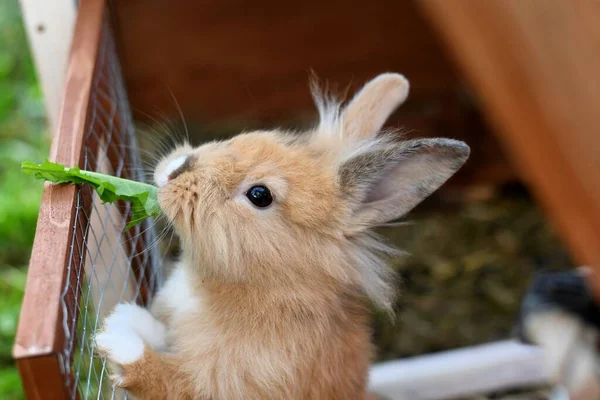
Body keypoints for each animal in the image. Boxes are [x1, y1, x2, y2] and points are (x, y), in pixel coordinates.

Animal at [94, 72, 468, 400]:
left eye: (260, 195)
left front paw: (117, 336)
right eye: (244, 137)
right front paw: (133, 318)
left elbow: (168, 381)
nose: (176, 170)